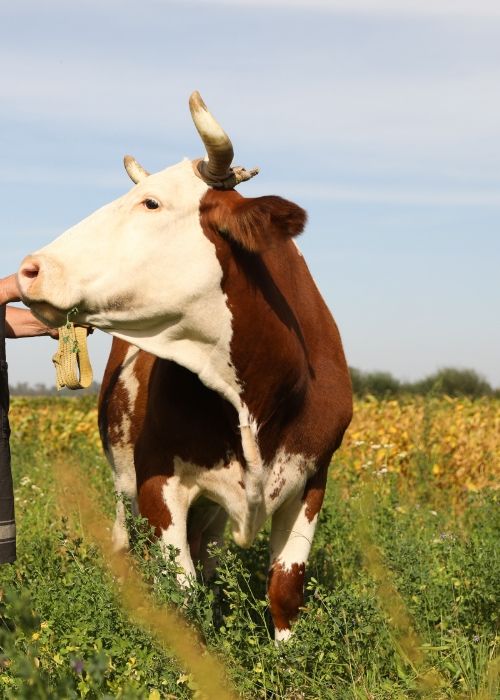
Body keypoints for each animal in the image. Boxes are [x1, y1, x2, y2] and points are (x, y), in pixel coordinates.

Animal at [17, 92, 352, 640]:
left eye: (151, 203)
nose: (29, 269)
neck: (256, 392)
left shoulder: (312, 477)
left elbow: (285, 589)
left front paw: (287, 657)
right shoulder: (156, 479)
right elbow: (182, 593)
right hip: (125, 483)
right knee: (127, 542)